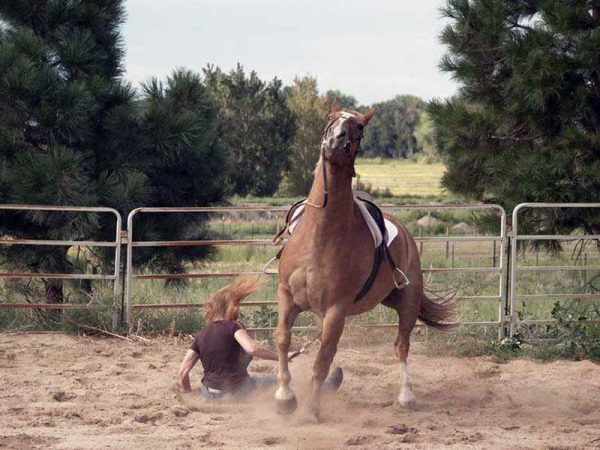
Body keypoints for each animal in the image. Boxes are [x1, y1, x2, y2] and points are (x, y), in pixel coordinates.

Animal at [274, 101, 452, 422]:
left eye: (359, 127)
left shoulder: (336, 310)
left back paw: (406, 396)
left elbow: (322, 360)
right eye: (331, 118)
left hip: (407, 303)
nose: (334, 141)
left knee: (401, 346)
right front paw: (284, 397)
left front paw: (310, 411)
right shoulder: (287, 296)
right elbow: (283, 339)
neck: (319, 236)